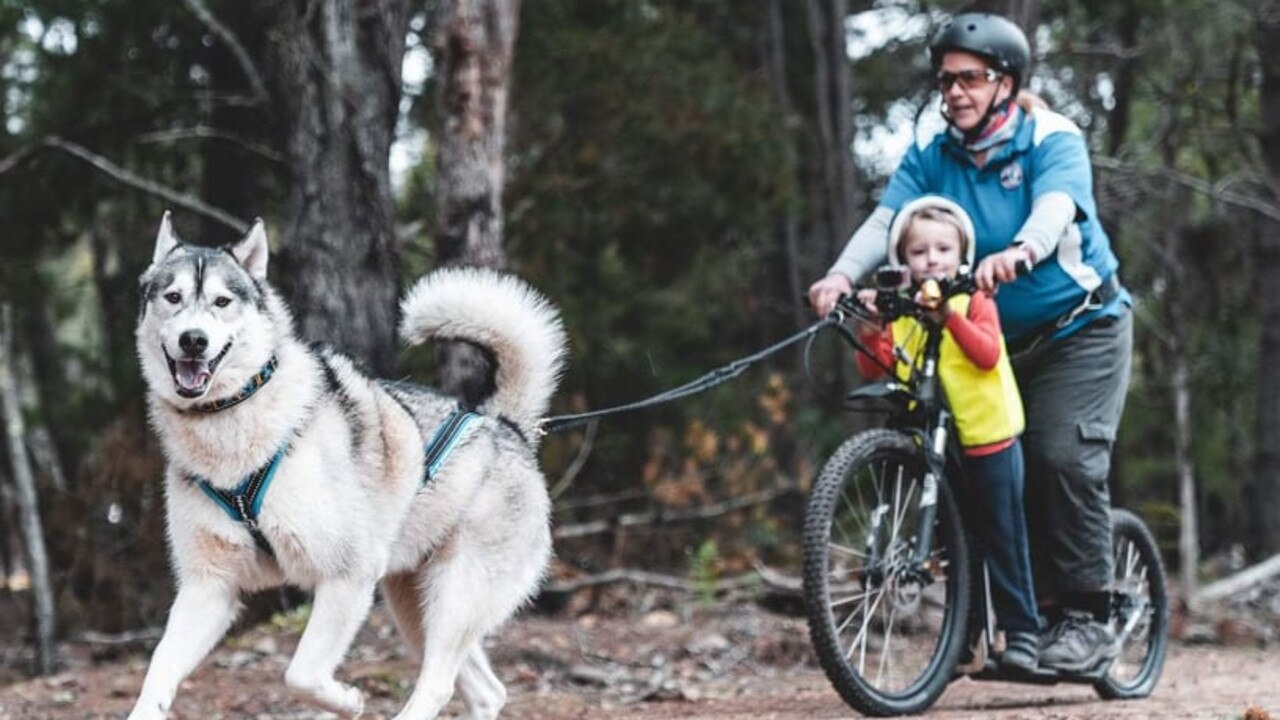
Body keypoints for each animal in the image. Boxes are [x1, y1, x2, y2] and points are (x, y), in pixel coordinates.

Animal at [129, 212, 565, 717]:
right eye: (172, 297)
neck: (233, 433)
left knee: (438, 684)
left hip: (453, 598)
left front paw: (350, 701)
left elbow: (300, 674)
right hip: (414, 605)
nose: (193, 341)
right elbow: (156, 677)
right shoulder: (209, 589)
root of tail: (507, 426)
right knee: (485, 690)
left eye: (221, 301)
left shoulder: (347, 576)